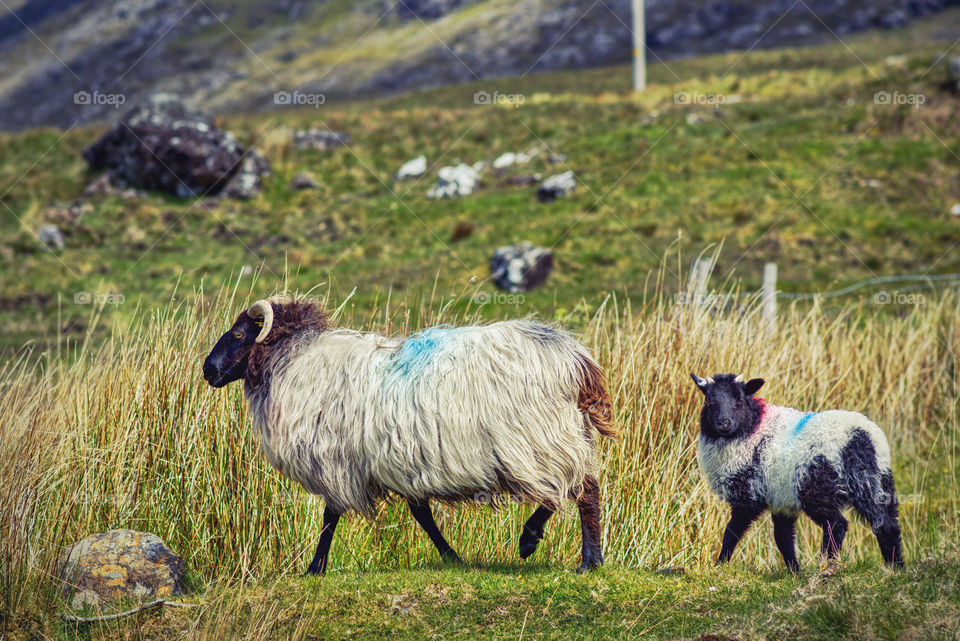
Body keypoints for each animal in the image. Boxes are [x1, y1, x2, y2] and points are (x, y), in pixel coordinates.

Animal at [202, 298, 616, 572]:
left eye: (238, 332)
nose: (208, 369)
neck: (293, 362)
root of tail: (576, 359)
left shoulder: (337, 459)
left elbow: (330, 515)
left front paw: (314, 568)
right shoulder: (404, 462)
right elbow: (422, 515)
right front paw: (453, 558)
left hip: (538, 437)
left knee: (576, 488)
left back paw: (565, 553)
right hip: (558, 434)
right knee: (581, 485)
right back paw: (582, 555)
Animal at [688, 370, 900, 568]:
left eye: (739, 401)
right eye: (709, 402)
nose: (723, 423)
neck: (752, 428)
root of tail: (858, 437)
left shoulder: (747, 496)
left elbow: (732, 532)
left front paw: (720, 564)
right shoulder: (781, 501)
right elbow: (783, 538)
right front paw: (794, 570)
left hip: (817, 489)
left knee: (837, 524)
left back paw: (826, 563)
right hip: (876, 484)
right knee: (887, 526)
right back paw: (895, 567)